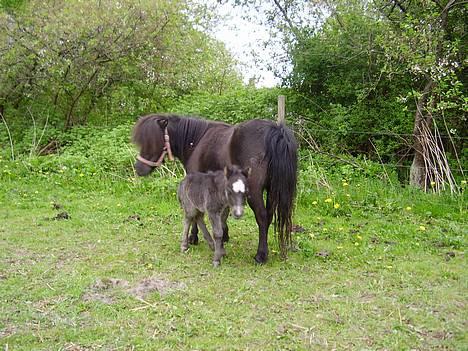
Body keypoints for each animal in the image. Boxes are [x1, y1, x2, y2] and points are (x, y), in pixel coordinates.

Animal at [132, 114, 296, 262]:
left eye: (152, 140)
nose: (138, 168)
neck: (195, 141)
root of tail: (275, 131)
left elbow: (196, 213)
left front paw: (193, 238)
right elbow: (223, 213)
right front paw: (224, 236)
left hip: (254, 192)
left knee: (262, 217)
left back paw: (261, 255)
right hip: (272, 192)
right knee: (269, 216)